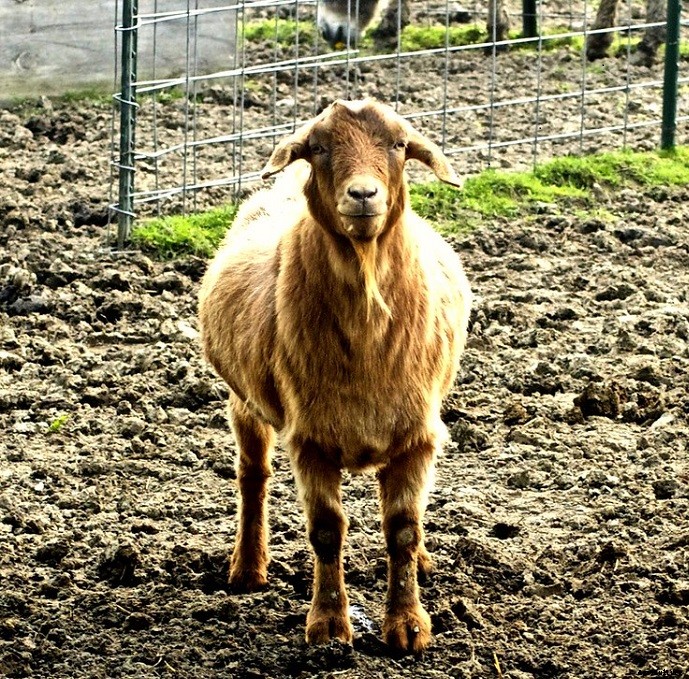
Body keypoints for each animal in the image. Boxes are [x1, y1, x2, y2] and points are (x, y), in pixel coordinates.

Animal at [198, 99, 472, 653]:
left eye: (399, 145)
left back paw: (424, 562)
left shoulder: (418, 436)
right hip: (244, 401)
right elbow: (326, 530)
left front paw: (408, 625)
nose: (363, 194)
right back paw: (248, 568)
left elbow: (403, 528)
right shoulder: (310, 438)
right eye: (319, 147)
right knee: (252, 475)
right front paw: (327, 625)